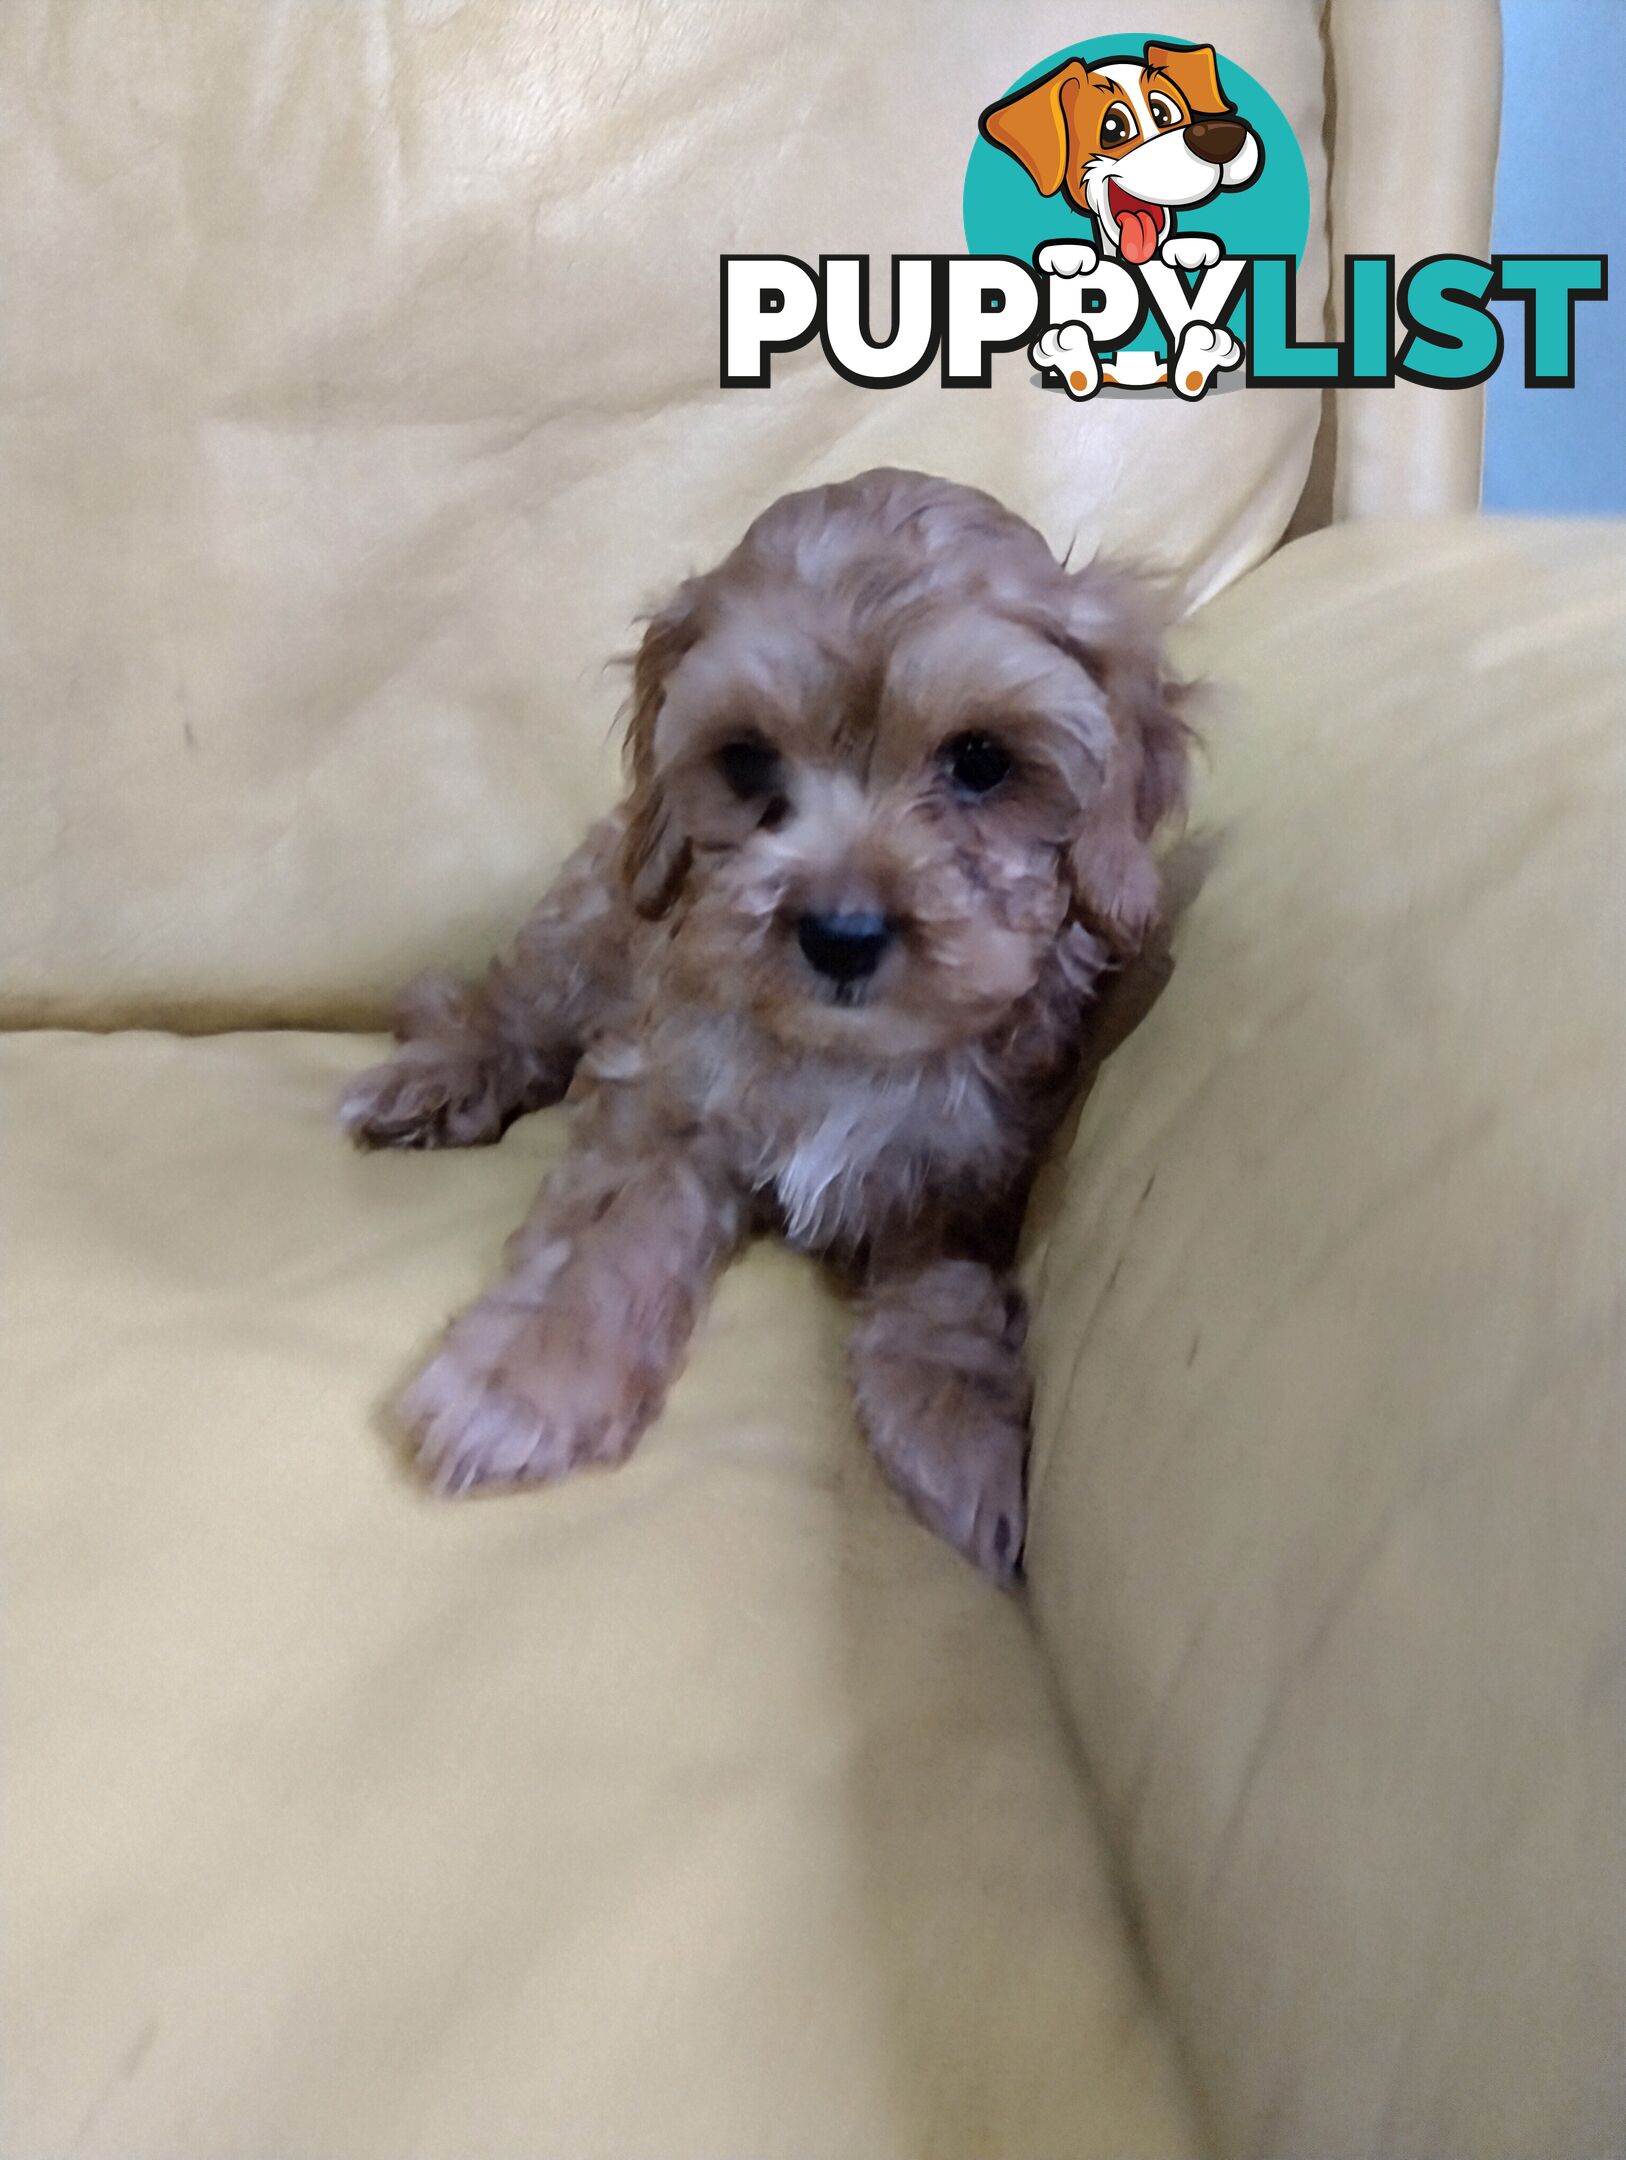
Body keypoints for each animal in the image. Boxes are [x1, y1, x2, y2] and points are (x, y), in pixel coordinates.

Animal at [336, 468, 1183, 1589]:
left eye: (980, 761)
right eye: (745, 761)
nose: (842, 933)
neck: (840, 1052)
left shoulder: (965, 1174)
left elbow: (942, 1304)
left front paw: (961, 1434)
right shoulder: (661, 1101)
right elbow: (602, 1247)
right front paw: (521, 1383)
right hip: (585, 930)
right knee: (503, 1009)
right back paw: (430, 1078)